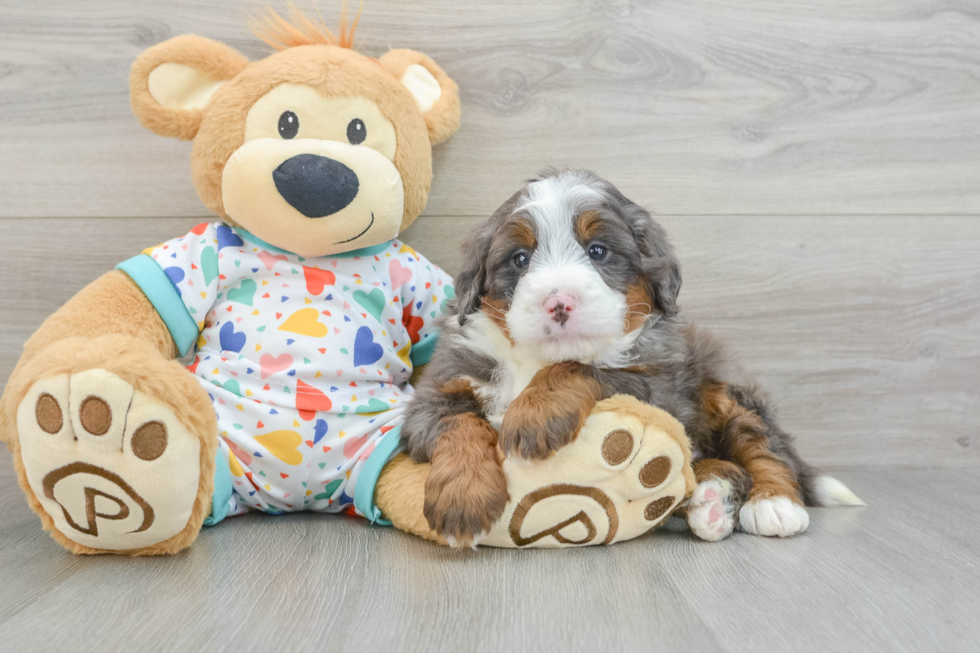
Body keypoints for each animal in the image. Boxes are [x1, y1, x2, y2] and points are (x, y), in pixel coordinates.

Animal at [402, 168, 860, 544]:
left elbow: (582, 367)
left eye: (598, 251)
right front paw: (463, 498)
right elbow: (457, 424)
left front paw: (534, 415)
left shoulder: (660, 387)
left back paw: (772, 503)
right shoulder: (439, 388)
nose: (559, 303)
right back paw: (710, 500)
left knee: (763, 447)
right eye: (520, 259)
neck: (534, 361)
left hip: (725, 389)